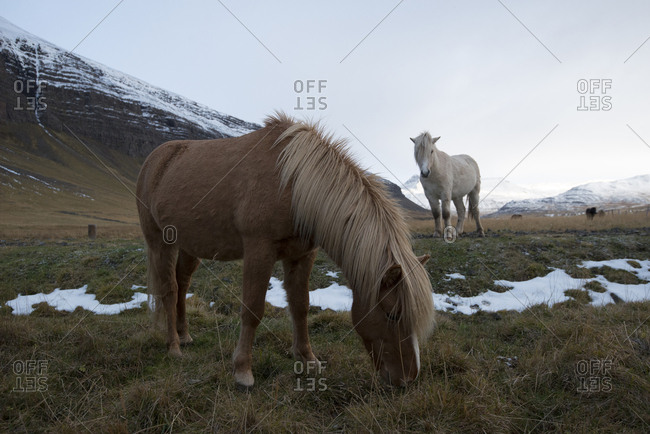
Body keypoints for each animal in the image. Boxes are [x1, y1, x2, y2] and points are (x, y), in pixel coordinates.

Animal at [137, 113, 435, 388]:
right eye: (393, 314)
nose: (408, 378)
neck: (293, 183)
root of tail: (154, 160)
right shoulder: (259, 250)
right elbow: (253, 309)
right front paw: (242, 370)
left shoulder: (301, 255)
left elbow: (300, 306)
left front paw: (307, 358)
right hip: (160, 242)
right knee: (169, 289)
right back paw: (174, 347)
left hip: (189, 247)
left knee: (182, 284)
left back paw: (185, 335)